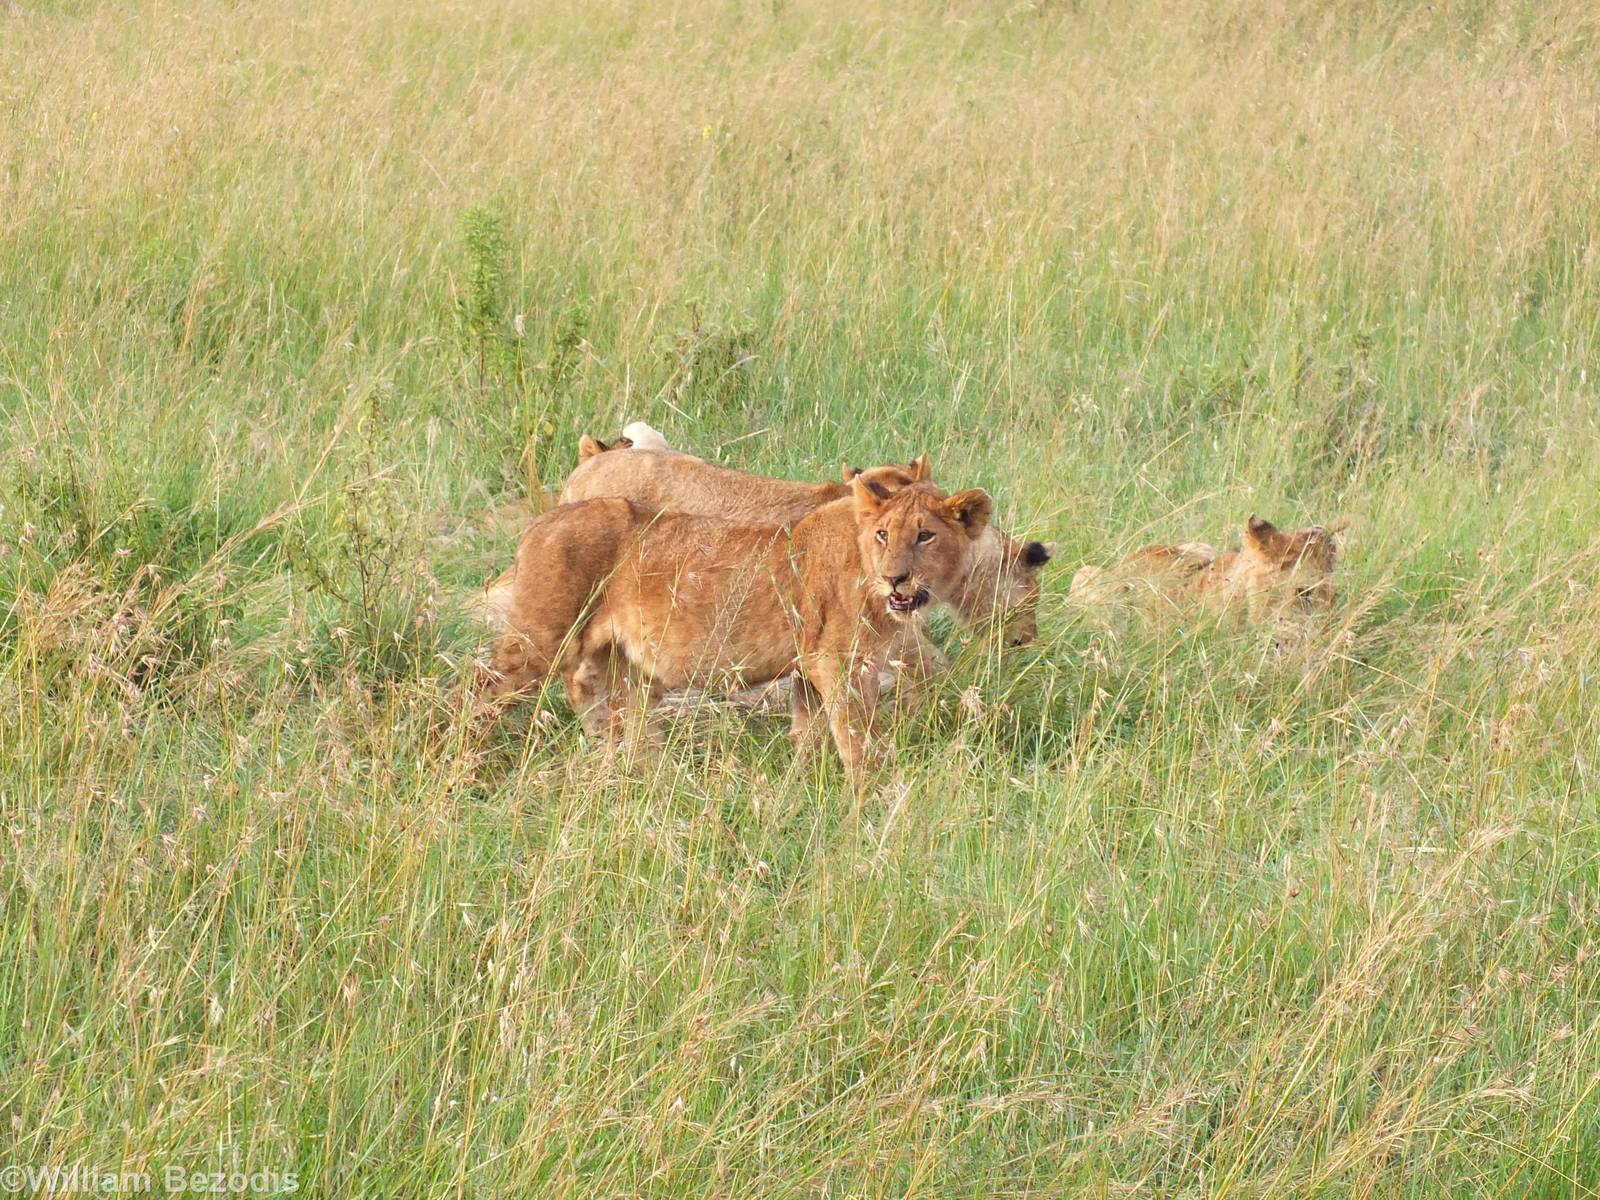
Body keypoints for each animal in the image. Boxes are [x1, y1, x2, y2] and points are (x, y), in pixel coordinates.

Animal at [481, 478, 995, 776]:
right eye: (884, 534)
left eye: (925, 535)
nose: (896, 577)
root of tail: (540, 521)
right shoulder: (837, 664)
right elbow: (857, 741)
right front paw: (868, 803)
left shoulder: (809, 668)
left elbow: (808, 735)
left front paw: (801, 790)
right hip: (537, 642)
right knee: (479, 693)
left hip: (618, 660)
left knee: (599, 700)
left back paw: (633, 768)